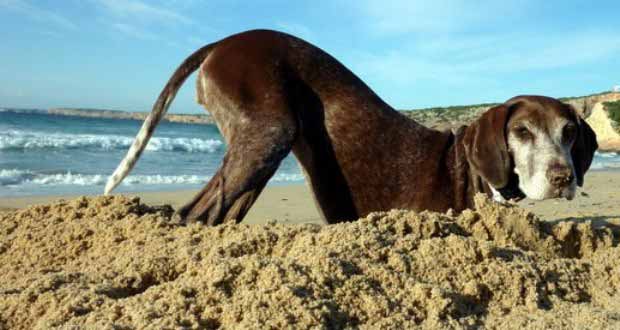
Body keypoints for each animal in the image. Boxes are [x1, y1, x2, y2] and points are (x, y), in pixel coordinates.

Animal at [104, 29, 600, 226]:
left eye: (569, 132)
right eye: (522, 132)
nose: (563, 178)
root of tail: (224, 41)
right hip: (270, 133)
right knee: (194, 214)